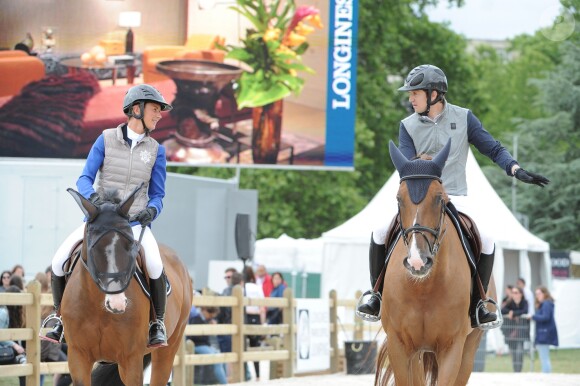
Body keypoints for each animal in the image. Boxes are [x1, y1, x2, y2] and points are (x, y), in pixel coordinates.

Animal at [62, 185, 191, 384]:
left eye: (130, 245)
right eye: (94, 247)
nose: (117, 304)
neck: (98, 306)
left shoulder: (130, 360)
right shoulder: (78, 357)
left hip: (169, 346)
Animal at [376, 139, 498, 386]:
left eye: (439, 198)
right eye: (398, 199)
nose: (417, 261)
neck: (424, 288)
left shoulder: (452, 348)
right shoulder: (399, 346)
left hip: (469, 348)